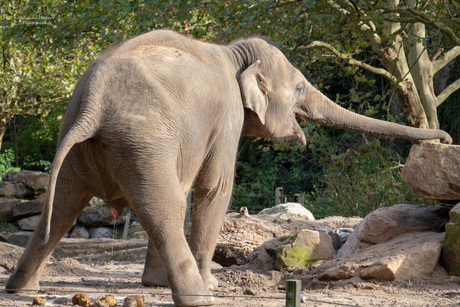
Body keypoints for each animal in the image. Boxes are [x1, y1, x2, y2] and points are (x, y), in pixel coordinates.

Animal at [6, 29, 452, 307]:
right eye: (299, 88)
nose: (445, 139)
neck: (232, 52)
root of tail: (92, 102)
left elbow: (190, 186)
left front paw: (154, 284)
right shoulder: (226, 118)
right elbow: (213, 189)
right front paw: (212, 282)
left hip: (90, 148)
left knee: (63, 208)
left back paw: (21, 289)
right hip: (141, 141)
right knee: (161, 209)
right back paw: (199, 296)